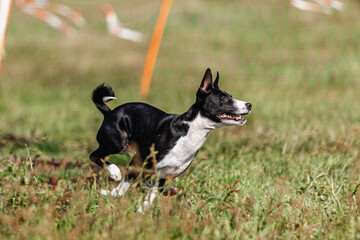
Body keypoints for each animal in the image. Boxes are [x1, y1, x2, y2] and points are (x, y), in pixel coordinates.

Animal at [89, 68, 252, 211]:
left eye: (230, 95)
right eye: (223, 98)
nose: (249, 104)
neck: (191, 132)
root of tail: (110, 112)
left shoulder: (164, 175)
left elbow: (151, 195)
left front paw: (142, 210)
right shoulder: (140, 162)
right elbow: (125, 185)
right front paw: (114, 193)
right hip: (118, 143)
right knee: (95, 155)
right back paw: (114, 171)